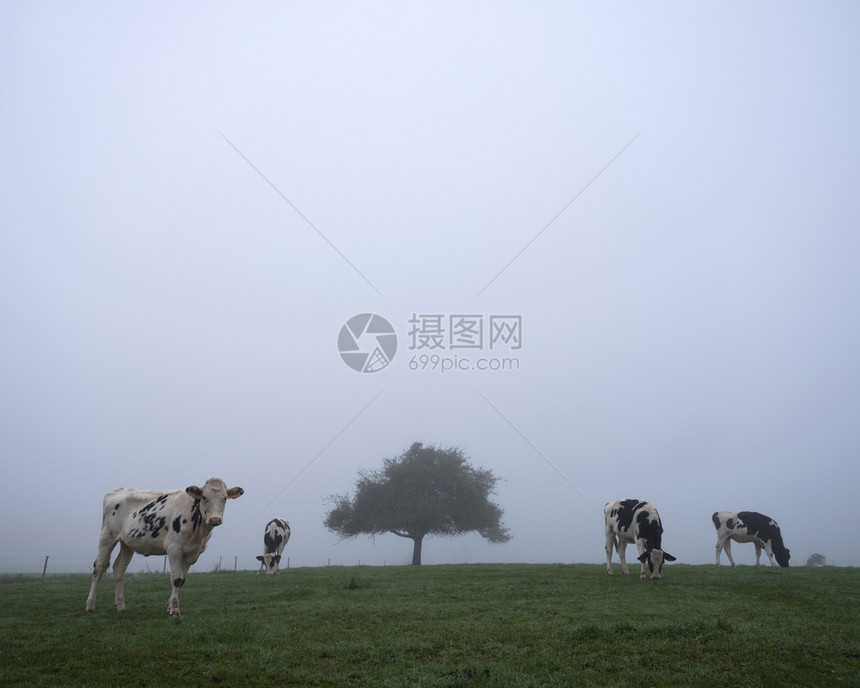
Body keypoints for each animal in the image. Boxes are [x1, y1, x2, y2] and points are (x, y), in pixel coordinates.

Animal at [84, 476, 244, 616]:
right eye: (204, 497)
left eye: (225, 498)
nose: (215, 519)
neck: (199, 532)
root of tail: (117, 491)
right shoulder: (174, 549)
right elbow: (176, 579)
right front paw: (174, 610)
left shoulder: (191, 553)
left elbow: (182, 580)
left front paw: (170, 607)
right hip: (107, 536)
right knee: (98, 568)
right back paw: (90, 606)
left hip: (127, 543)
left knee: (119, 569)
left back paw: (120, 606)